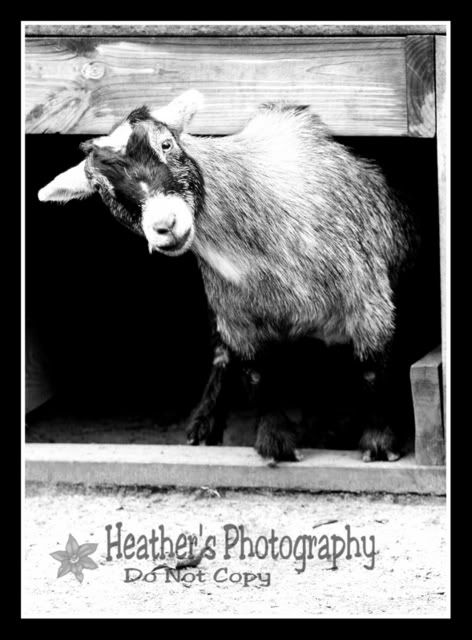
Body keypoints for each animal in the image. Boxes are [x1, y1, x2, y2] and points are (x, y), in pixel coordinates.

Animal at [38, 90, 417, 463]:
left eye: (166, 144)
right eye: (104, 189)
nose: (165, 226)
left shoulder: (369, 305)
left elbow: (371, 371)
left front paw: (380, 443)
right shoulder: (238, 322)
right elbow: (256, 375)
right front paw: (275, 442)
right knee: (221, 355)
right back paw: (204, 424)